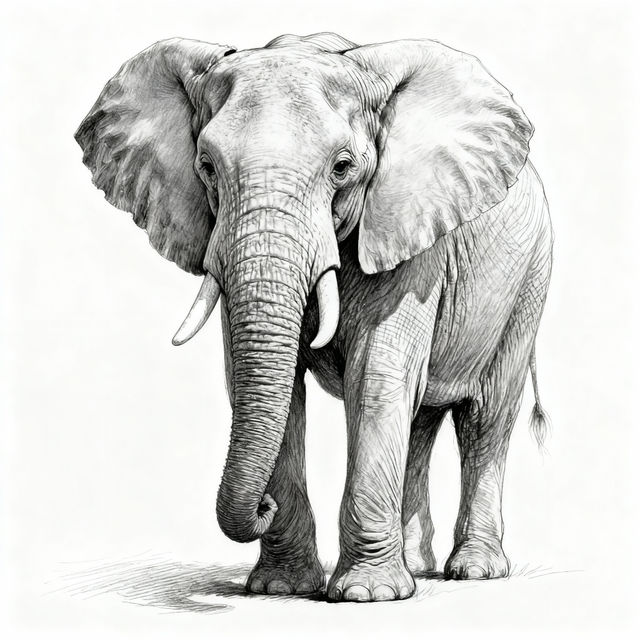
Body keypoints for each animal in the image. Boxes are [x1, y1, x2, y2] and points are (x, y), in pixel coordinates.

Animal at [75, 32, 552, 603]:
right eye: (207, 167)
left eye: (342, 167)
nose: (262, 504)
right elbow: (266, 386)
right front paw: (280, 588)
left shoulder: (406, 235)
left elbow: (376, 376)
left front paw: (367, 596)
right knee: (420, 420)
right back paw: (417, 567)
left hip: (529, 281)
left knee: (486, 416)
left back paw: (474, 571)